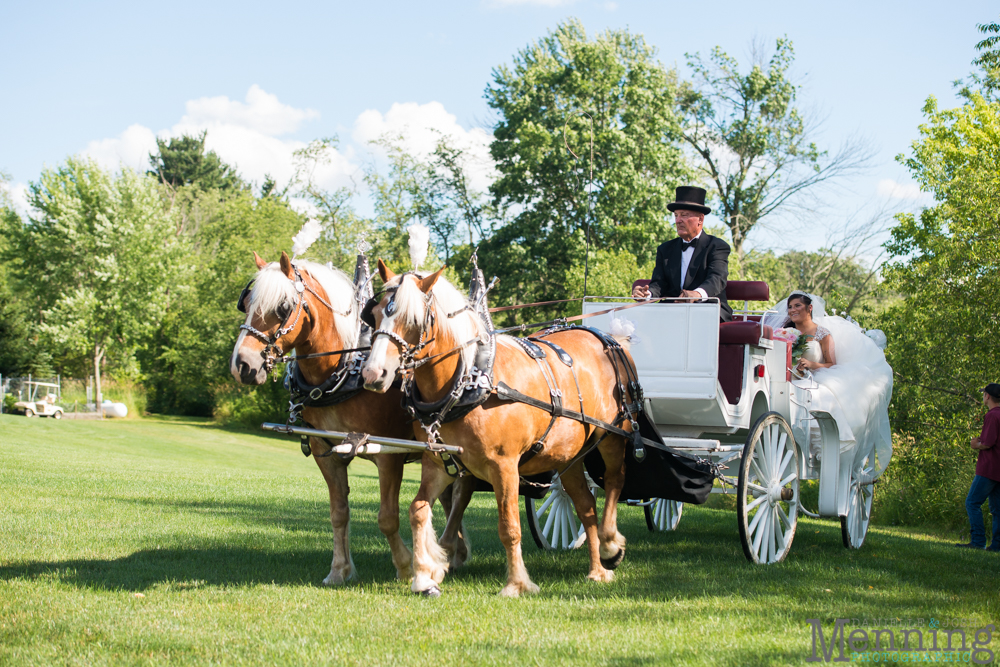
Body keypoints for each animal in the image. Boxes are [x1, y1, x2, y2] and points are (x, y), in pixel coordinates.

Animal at [230, 250, 472, 584]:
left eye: (282, 306)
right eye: (247, 301)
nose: (242, 364)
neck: (343, 372)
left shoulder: (388, 455)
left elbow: (387, 518)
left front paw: (406, 565)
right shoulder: (325, 450)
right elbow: (339, 512)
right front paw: (339, 570)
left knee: (462, 494)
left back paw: (447, 550)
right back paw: (455, 551)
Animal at [364, 262, 636, 600]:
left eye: (412, 319)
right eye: (375, 314)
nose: (373, 374)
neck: (469, 382)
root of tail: (611, 338)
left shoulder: (504, 466)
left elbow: (509, 527)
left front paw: (517, 583)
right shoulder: (438, 463)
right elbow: (417, 510)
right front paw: (425, 576)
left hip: (614, 435)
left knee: (614, 480)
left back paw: (611, 544)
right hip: (567, 456)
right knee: (586, 506)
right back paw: (598, 570)